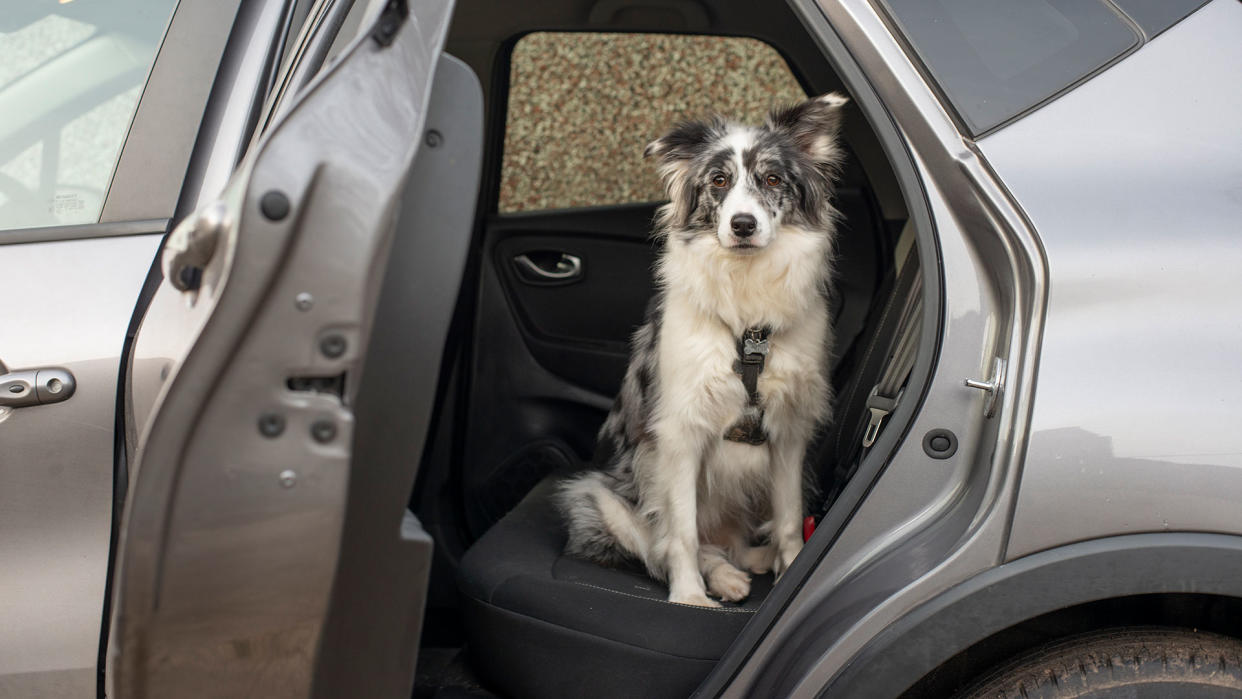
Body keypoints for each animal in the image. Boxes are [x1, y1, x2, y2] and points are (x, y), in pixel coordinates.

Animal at [558, 93, 849, 608]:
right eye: (719, 181)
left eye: (773, 179)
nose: (743, 225)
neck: (748, 322)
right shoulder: (679, 432)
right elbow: (682, 534)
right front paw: (690, 597)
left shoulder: (790, 432)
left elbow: (790, 519)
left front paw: (792, 571)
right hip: (597, 495)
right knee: (666, 546)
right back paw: (723, 578)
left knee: (737, 543)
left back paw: (752, 561)